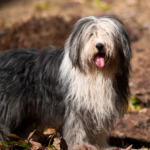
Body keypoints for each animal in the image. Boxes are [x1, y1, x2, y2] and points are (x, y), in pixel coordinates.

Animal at [0, 15, 131, 149]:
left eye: (107, 34)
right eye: (91, 34)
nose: (99, 46)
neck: (96, 72)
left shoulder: (98, 105)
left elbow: (99, 129)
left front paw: (101, 146)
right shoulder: (75, 105)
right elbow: (76, 126)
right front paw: (80, 145)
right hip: (7, 106)